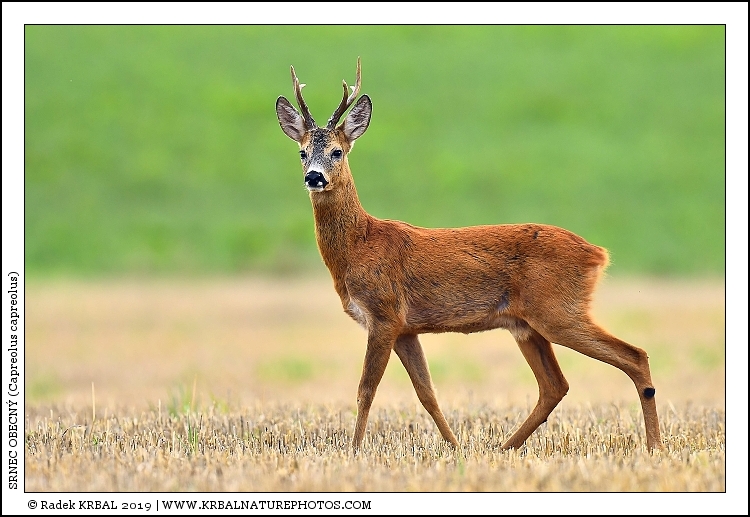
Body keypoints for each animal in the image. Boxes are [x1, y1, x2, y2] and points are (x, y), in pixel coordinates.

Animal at [275, 58, 663, 452]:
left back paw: (654, 447)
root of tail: (597, 253)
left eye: (337, 151)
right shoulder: (406, 328)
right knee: (555, 385)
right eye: (302, 152)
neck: (360, 244)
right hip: (526, 325)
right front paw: (455, 447)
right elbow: (426, 393)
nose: (314, 177)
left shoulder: (384, 314)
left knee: (634, 356)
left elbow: (366, 390)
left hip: (558, 310)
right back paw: (504, 448)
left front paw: (354, 451)